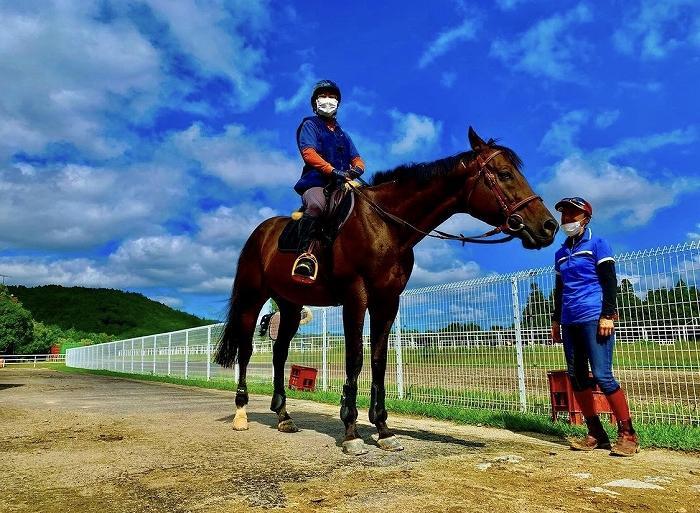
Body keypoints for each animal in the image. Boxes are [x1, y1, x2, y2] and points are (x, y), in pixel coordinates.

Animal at [214, 127, 558, 455]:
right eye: (505, 174)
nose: (549, 226)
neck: (385, 225)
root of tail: (261, 233)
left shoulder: (387, 302)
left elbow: (378, 359)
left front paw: (383, 429)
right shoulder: (356, 297)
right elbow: (355, 358)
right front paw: (351, 432)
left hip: (290, 305)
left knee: (279, 352)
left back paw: (284, 416)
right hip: (252, 298)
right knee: (246, 351)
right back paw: (241, 413)